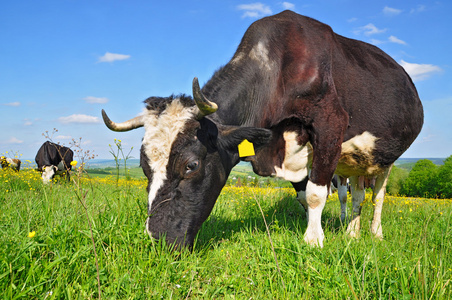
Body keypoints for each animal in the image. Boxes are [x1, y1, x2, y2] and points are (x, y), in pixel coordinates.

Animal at [100, 10, 422, 248]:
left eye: (191, 165)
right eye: (143, 167)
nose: (158, 239)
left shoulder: (330, 124)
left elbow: (317, 193)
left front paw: (313, 240)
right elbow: (305, 196)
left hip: (384, 160)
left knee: (377, 196)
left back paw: (375, 233)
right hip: (354, 163)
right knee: (355, 196)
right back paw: (351, 232)